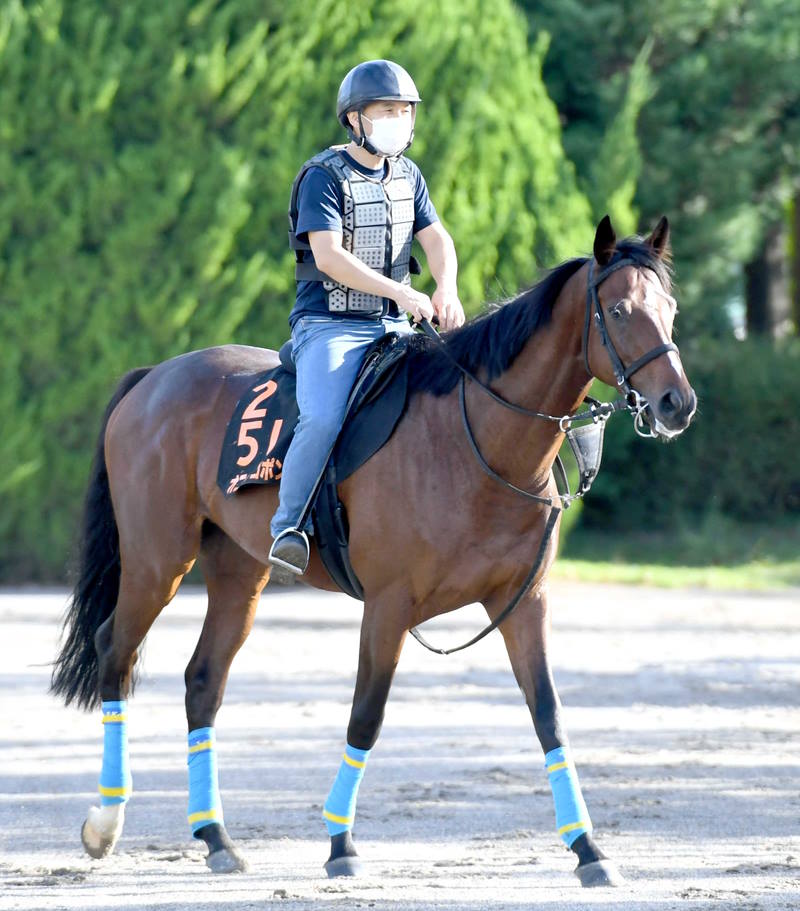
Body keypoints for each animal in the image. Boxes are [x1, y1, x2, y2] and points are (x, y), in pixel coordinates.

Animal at [53, 212, 696, 884]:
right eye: (619, 310)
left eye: (670, 309)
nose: (677, 403)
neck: (477, 438)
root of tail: (153, 377)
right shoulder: (388, 607)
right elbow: (367, 713)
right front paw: (341, 843)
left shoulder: (523, 603)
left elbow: (549, 714)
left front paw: (588, 848)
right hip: (158, 563)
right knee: (115, 652)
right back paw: (105, 822)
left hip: (239, 573)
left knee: (203, 681)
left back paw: (215, 837)